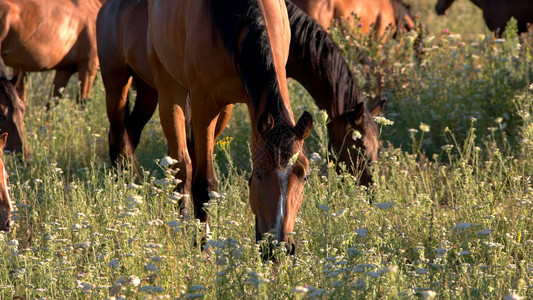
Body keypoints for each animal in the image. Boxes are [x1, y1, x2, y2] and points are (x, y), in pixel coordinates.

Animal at [98, 0, 382, 185]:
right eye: (360, 145)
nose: (371, 187)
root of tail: (109, 7)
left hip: (148, 92)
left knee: (130, 133)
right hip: (117, 84)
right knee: (117, 135)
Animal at [145, 0, 312, 255]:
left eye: (304, 176)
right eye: (259, 173)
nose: (279, 246)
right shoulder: (204, 105)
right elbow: (204, 182)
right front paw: (203, 245)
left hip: (225, 110)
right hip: (169, 90)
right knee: (183, 165)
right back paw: (183, 227)